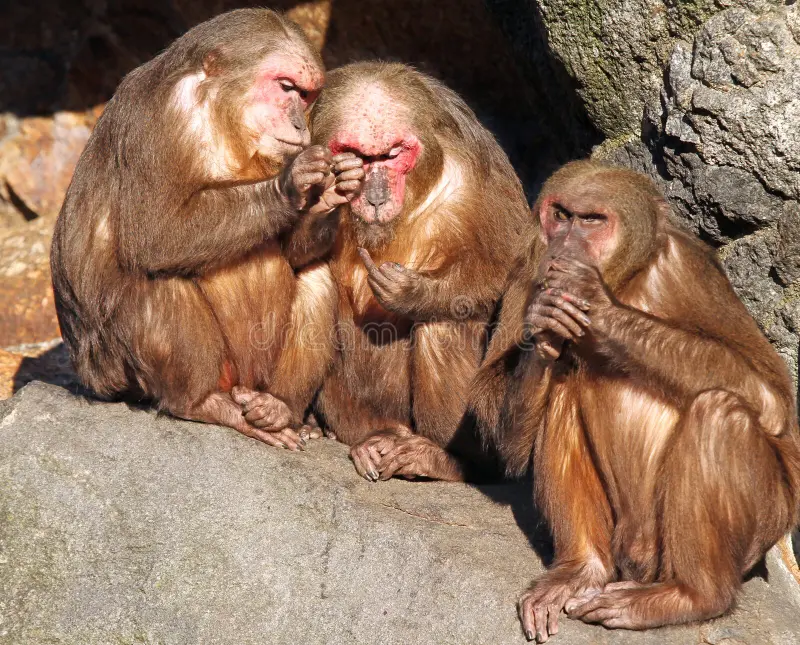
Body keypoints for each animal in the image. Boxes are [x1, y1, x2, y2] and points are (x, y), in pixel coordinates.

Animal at [50, 9, 364, 451]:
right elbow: (155, 235)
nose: (301, 126)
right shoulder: (161, 115)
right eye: (286, 87)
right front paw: (289, 185)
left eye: (305, 96)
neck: (217, 115)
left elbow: (293, 253)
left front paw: (329, 194)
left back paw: (279, 407)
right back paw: (200, 402)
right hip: (123, 374)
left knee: (315, 274)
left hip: (251, 375)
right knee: (158, 281)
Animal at [308, 61, 534, 482]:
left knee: (445, 321)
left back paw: (445, 458)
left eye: (393, 155)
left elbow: (512, 275)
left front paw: (412, 293)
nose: (375, 196)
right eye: (356, 156)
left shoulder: (479, 173)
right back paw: (364, 436)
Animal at [469, 160, 800, 641]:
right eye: (561, 215)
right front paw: (544, 333)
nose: (563, 245)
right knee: (563, 383)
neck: (624, 279)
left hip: (762, 525)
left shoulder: (687, 266)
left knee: (720, 412)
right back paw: (582, 568)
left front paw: (597, 307)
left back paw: (693, 595)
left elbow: (772, 398)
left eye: (591, 220)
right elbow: (495, 412)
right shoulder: (530, 262)